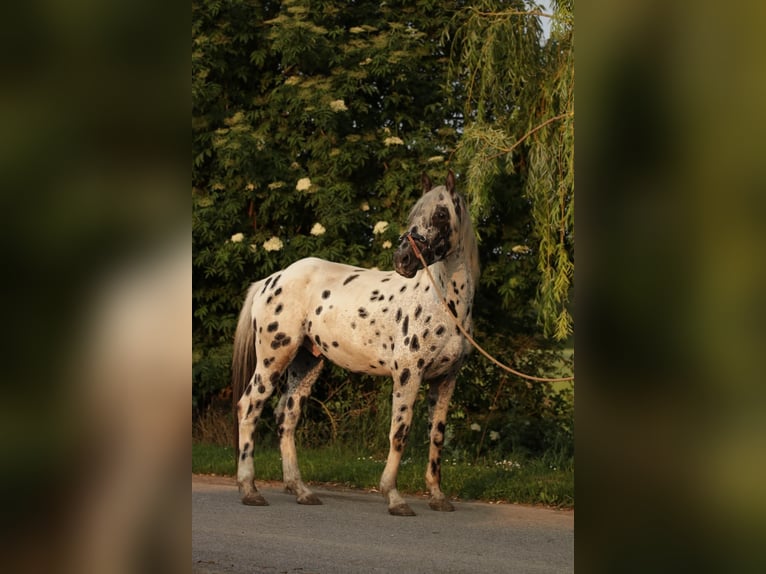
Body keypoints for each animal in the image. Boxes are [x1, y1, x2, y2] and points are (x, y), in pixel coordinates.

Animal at [231, 171, 479, 515]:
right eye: (414, 215)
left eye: (441, 214)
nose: (403, 259)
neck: (443, 303)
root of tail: (272, 279)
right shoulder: (408, 375)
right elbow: (400, 433)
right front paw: (394, 498)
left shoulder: (445, 380)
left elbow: (437, 436)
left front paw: (438, 497)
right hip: (273, 358)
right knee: (249, 406)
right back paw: (249, 489)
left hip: (306, 363)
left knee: (287, 417)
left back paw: (301, 491)